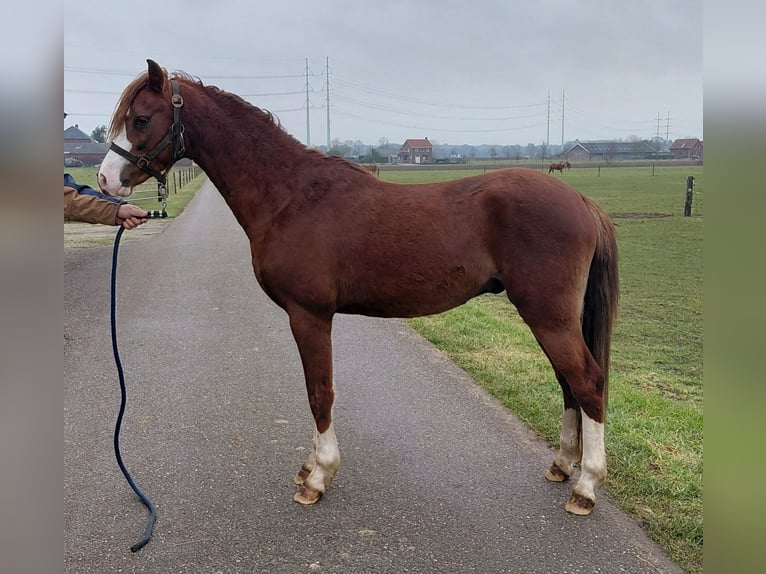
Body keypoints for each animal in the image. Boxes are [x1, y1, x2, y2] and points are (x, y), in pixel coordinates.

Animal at [98, 60, 618, 516]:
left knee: (587, 383)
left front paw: (318, 477)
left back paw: (586, 487)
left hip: (547, 314)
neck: (291, 196)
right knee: (568, 384)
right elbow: (314, 391)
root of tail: (582, 201)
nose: (105, 179)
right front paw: (310, 465)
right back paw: (562, 465)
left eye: (141, 118)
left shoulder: (309, 315)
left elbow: (319, 392)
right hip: (550, 316)